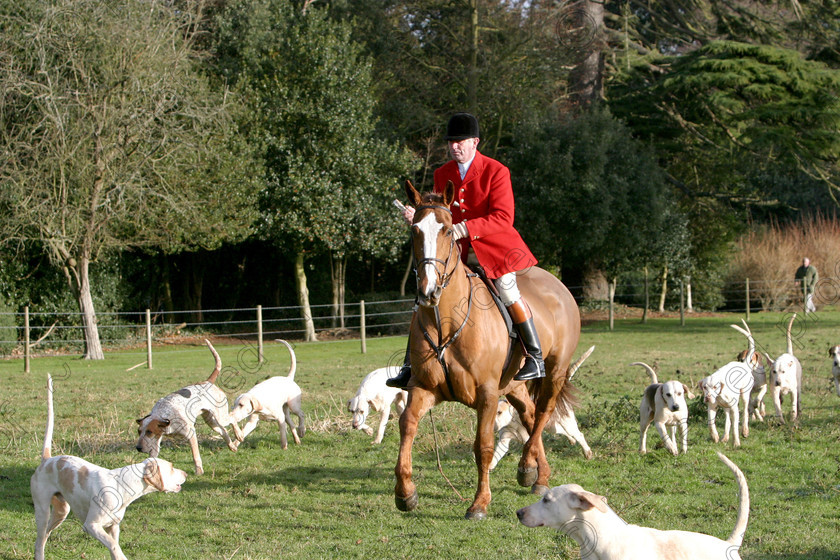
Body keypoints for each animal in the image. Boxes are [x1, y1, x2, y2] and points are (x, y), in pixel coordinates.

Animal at [392, 180, 576, 520]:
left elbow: (483, 446)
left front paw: (479, 503)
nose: (428, 291)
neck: (445, 321)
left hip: (555, 371)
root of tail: (557, 284)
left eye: (447, 230)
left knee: (543, 413)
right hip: (515, 384)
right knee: (530, 415)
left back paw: (526, 465)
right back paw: (537, 475)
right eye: (415, 230)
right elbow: (407, 425)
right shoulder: (424, 388)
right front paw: (405, 493)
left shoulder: (488, 394)